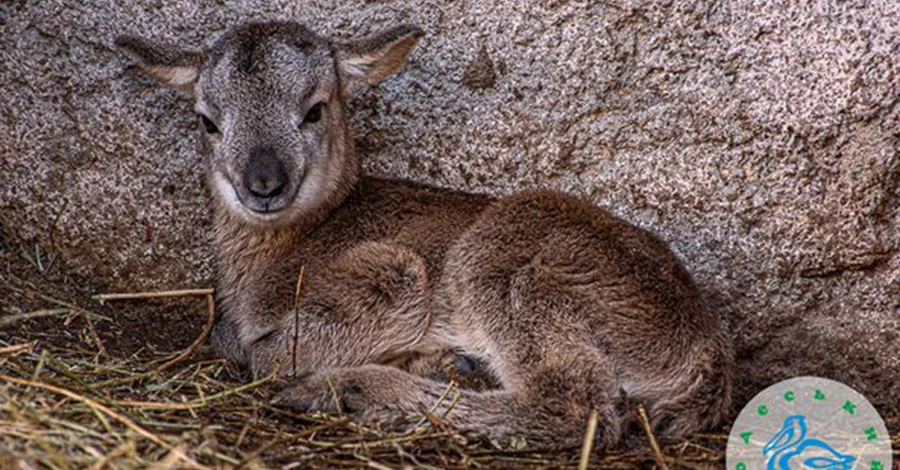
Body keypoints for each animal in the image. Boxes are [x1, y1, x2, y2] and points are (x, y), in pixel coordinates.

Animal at [116, 21, 736, 448]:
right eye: (207, 121)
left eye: (315, 110)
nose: (264, 183)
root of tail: (708, 357)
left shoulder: (397, 274)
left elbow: (260, 351)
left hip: (509, 266)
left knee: (575, 404)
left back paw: (352, 391)